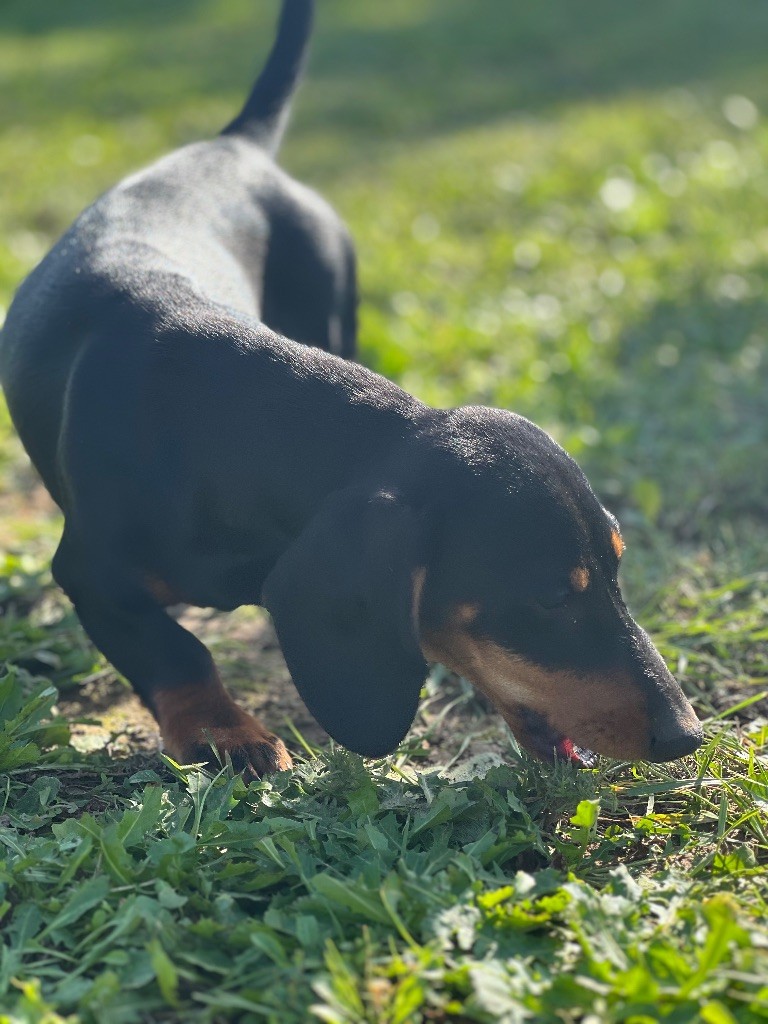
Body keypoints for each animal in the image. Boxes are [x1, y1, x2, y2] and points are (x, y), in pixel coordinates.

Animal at [0, 0, 704, 770]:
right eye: (550, 597)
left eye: (617, 568)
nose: (687, 734)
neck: (229, 428)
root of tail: (234, 146)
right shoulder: (89, 571)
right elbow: (175, 649)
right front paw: (226, 733)